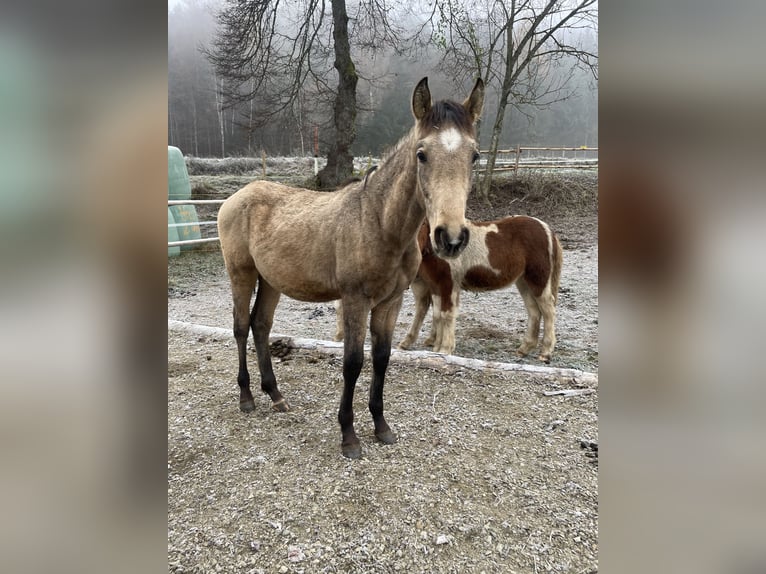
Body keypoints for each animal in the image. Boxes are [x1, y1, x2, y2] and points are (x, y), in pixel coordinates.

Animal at [218, 79, 486, 462]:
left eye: (474, 155)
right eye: (421, 154)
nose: (450, 237)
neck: (379, 223)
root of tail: (236, 197)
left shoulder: (391, 302)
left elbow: (382, 359)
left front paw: (382, 427)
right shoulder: (355, 300)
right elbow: (354, 362)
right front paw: (349, 436)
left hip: (271, 281)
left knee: (261, 326)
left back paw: (276, 396)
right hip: (241, 274)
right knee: (241, 327)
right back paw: (247, 398)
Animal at [400, 216, 568, 364]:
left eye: (422, 225)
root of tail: (547, 229)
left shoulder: (449, 284)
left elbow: (446, 315)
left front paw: (445, 349)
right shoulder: (436, 286)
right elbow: (437, 315)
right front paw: (435, 349)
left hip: (538, 279)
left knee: (548, 311)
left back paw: (545, 353)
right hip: (524, 282)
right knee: (534, 311)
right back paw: (524, 348)